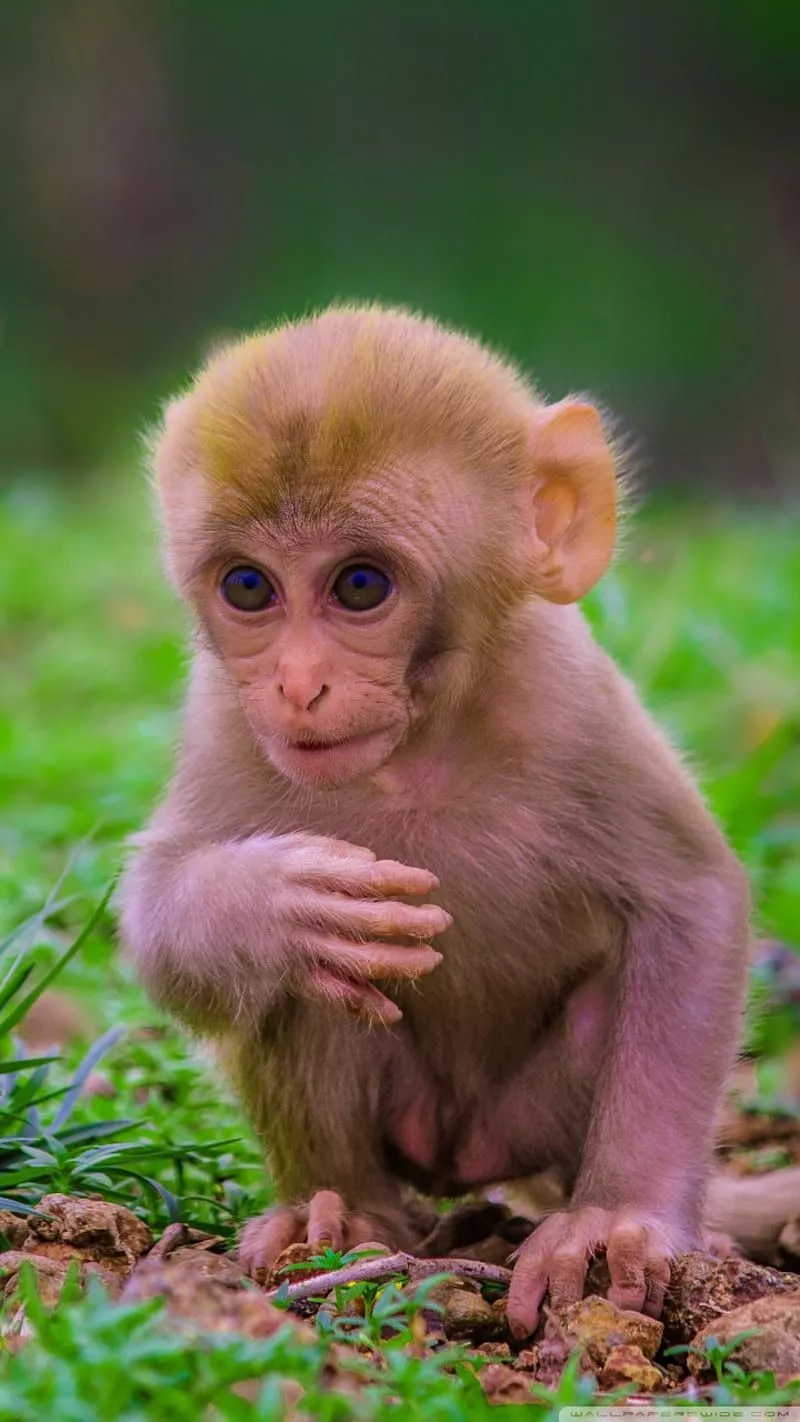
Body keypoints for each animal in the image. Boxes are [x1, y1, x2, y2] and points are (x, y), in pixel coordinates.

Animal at [118, 303, 753, 1339]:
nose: (297, 685)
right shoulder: (226, 717)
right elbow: (161, 923)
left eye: (360, 586)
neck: (416, 745)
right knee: (310, 985)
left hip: (528, 1117)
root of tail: (464, 1154)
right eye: (248, 587)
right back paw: (341, 1214)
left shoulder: (568, 694)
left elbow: (691, 903)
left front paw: (618, 1218)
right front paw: (275, 905)